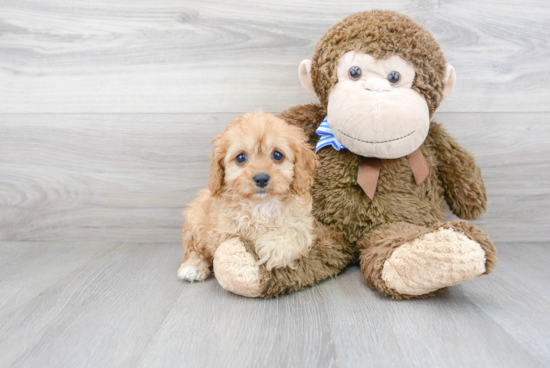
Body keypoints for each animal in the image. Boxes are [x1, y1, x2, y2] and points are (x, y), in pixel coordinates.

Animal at [180, 111, 320, 290]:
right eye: (240, 157)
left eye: (277, 155)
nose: (261, 179)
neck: (261, 204)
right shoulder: (223, 230)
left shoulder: (302, 222)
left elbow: (295, 232)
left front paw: (272, 248)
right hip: (195, 219)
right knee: (193, 249)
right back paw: (192, 268)